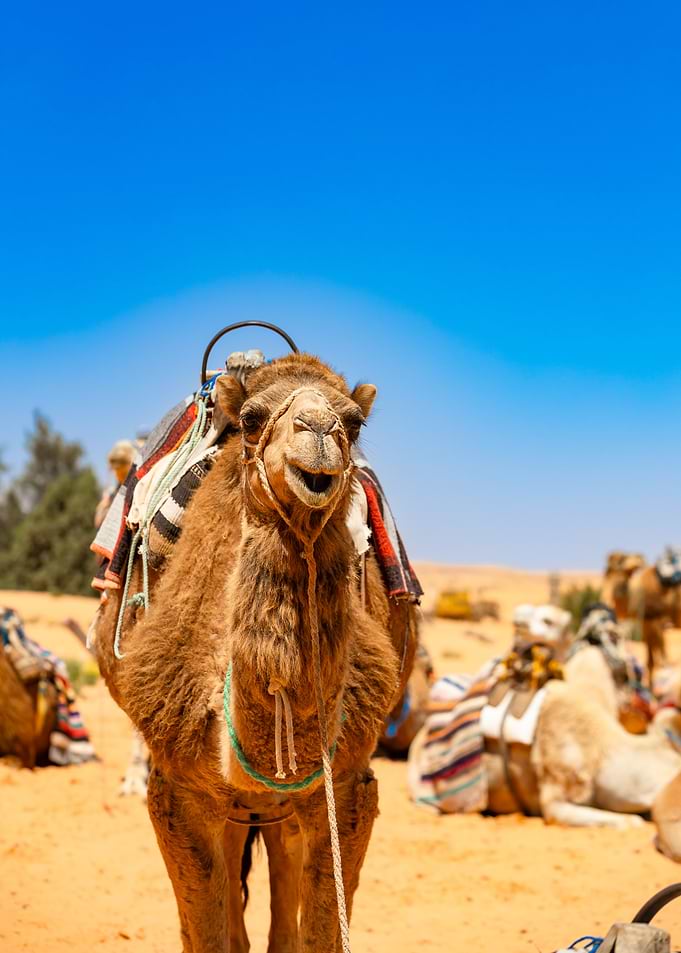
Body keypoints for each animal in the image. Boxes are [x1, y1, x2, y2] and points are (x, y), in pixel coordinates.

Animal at [95, 353, 409, 952]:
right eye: (251, 420)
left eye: (354, 423)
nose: (318, 431)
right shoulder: (177, 793)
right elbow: (208, 934)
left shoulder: (347, 789)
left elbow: (318, 934)